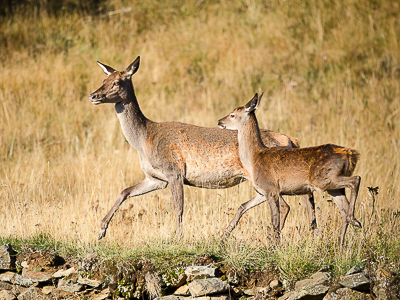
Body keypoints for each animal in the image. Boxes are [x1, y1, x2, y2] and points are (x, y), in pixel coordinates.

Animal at [90, 55, 312, 239]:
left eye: (116, 82)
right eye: (103, 81)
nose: (93, 95)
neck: (144, 140)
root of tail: (290, 140)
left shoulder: (174, 170)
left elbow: (178, 208)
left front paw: (178, 238)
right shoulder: (156, 178)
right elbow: (124, 191)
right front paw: (101, 230)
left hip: (270, 180)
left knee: (286, 205)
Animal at [219, 94, 362, 246]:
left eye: (232, 115)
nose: (219, 121)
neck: (253, 159)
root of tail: (350, 154)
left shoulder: (271, 189)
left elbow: (275, 220)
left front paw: (274, 245)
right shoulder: (262, 191)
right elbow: (242, 206)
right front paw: (223, 236)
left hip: (323, 179)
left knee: (356, 180)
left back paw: (354, 221)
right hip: (333, 187)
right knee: (343, 209)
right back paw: (341, 242)